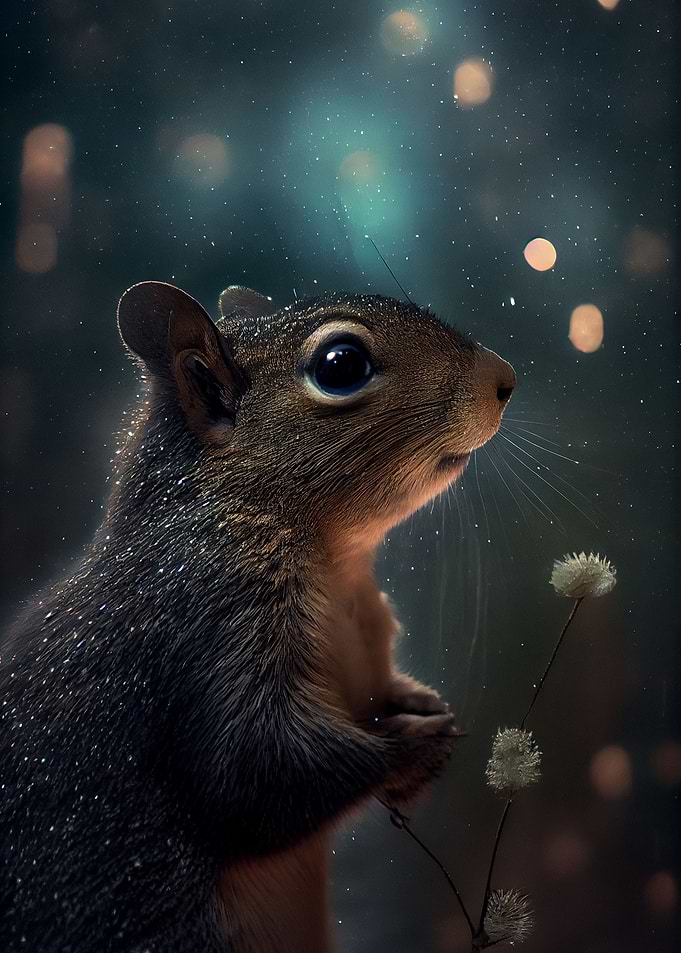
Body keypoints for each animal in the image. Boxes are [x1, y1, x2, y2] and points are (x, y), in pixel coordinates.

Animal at [0, 281, 515, 953]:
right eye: (341, 365)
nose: (504, 378)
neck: (335, 562)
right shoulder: (207, 622)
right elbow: (250, 775)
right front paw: (412, 747)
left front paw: (423, 705)